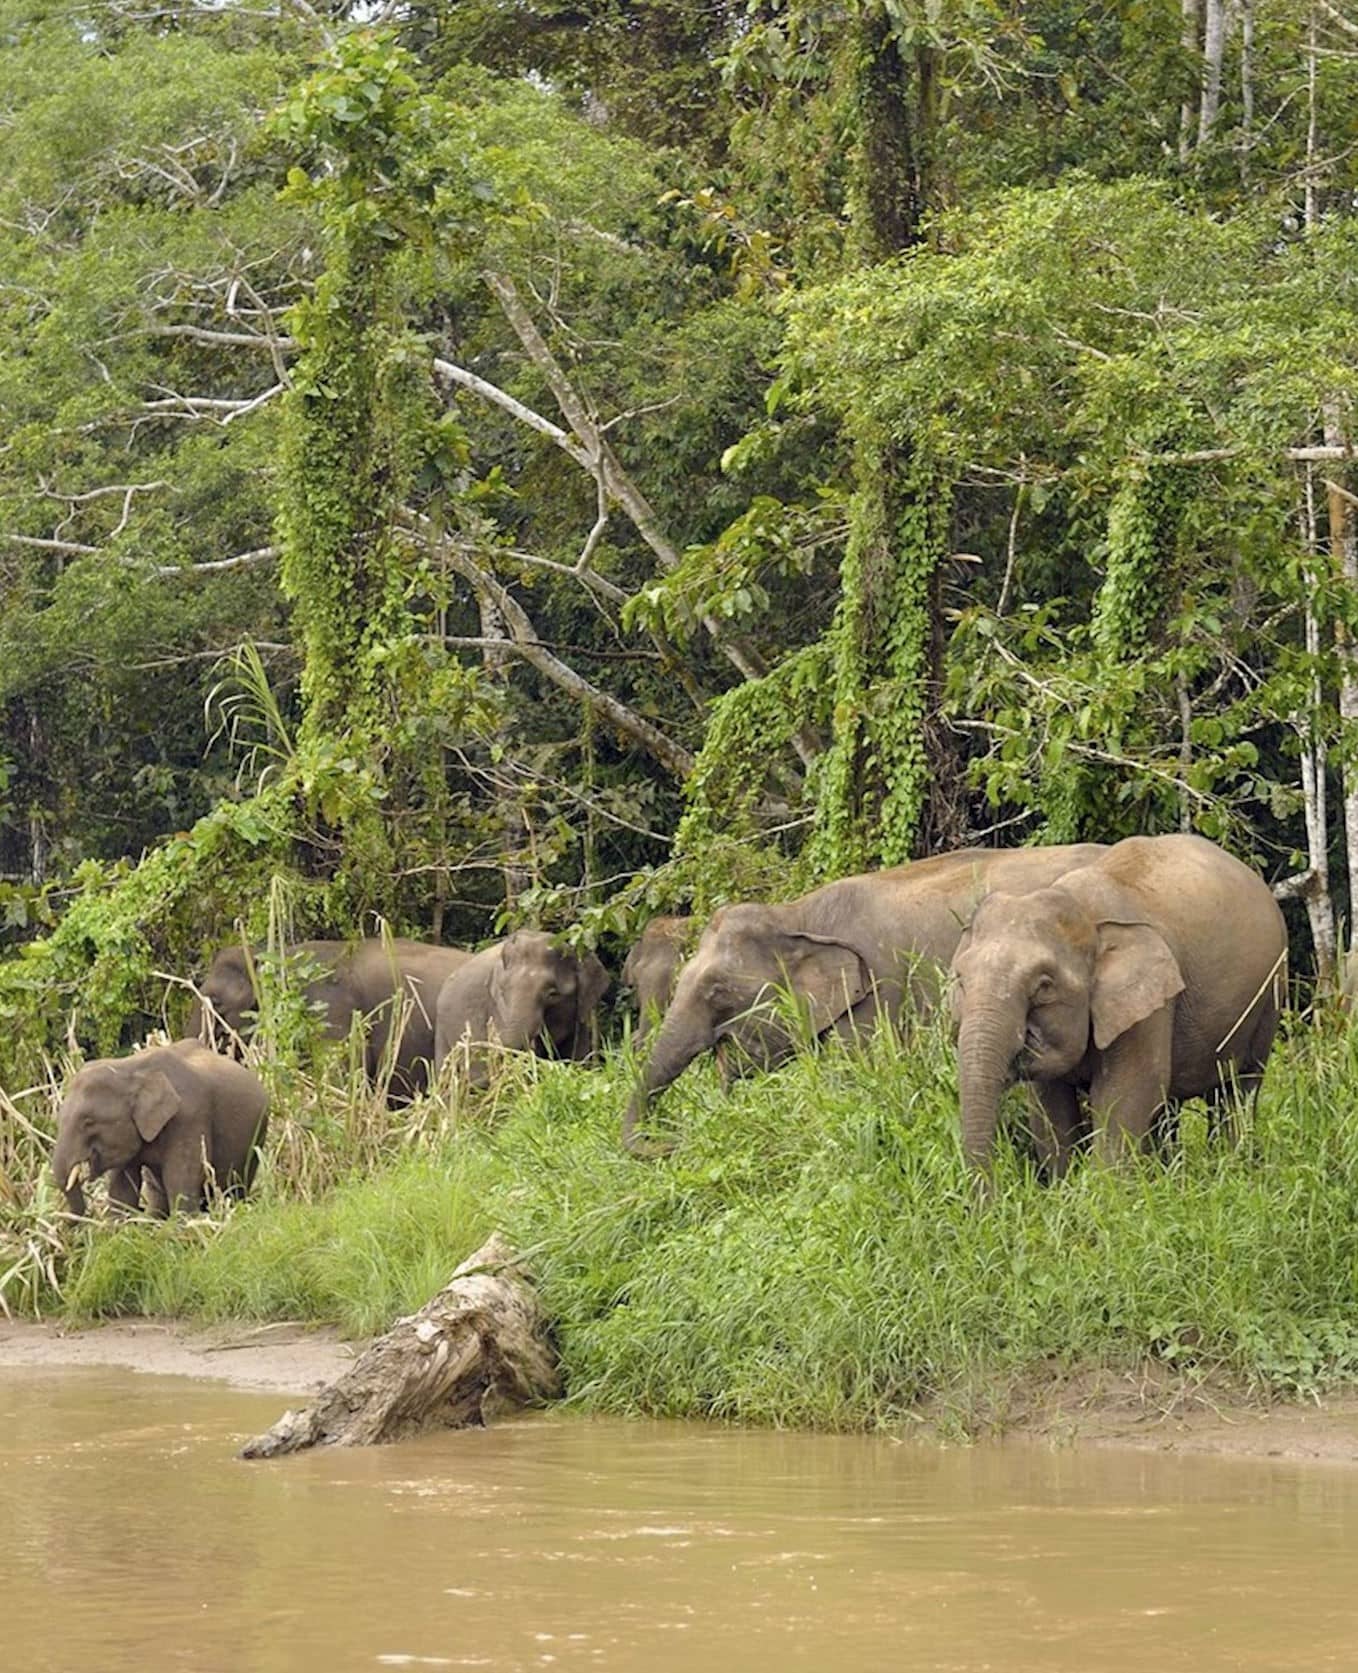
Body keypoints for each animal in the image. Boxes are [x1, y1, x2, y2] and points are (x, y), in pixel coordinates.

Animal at [949, 826, 1291, 1171]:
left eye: (1044, 986)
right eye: (961, 980)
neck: (1083, 909)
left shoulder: (1148, 1006)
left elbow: (1126, 1094)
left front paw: (1105, 1182)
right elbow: (1049, 1108)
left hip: (1269, 997)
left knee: (1237, 1089)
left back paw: (1232, 1164)